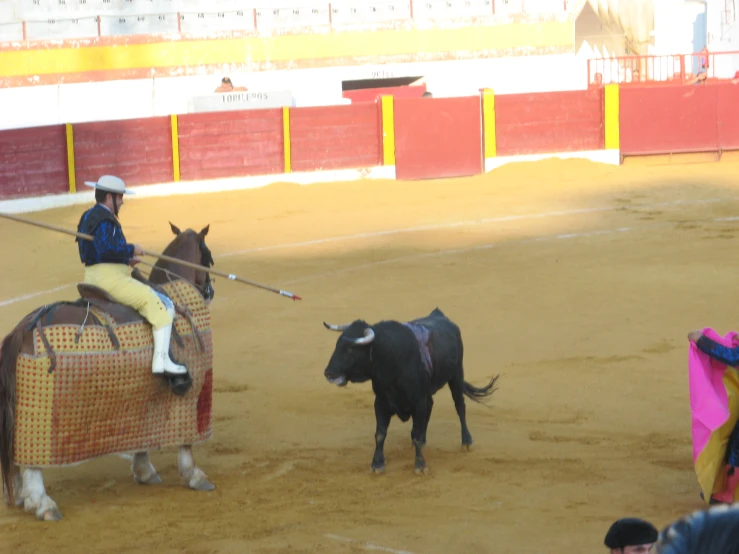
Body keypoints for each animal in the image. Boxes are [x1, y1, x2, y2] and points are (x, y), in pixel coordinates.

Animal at [0, 220, 215, 516]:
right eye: (208, 255)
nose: (210, 290)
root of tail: (23, 329)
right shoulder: (193, 390)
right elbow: (187, 441)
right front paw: (195, 475)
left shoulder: (142, 397)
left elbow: (142, 433)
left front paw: (144, 471)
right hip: (38, 408)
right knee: (31, 457)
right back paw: (43, 503)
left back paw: (25, 498)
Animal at [322, 304, 500, 472]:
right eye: (337, 345)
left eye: (350, 349)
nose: (328, 373)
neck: (392, 361)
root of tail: (440, 315)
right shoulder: (380, 401)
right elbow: (380, 434)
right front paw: (377, 464)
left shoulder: (419, 401)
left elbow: (415, 434)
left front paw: (420, 465)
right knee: (431, 407)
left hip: (456, 375)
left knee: (459, 406)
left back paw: (466, 441)